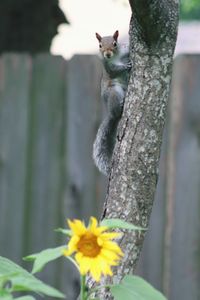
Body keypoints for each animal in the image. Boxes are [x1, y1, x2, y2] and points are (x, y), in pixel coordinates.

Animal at [92, 30, 131, 176]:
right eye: (100, 45)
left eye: (115, 43)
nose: (107, 54)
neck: (115, 57)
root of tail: (111, 114)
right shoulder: (107, 65)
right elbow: (114, 70)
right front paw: (125, 66)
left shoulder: (124, 50)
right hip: (113, 92)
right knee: (116, 110)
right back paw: (120, 106)